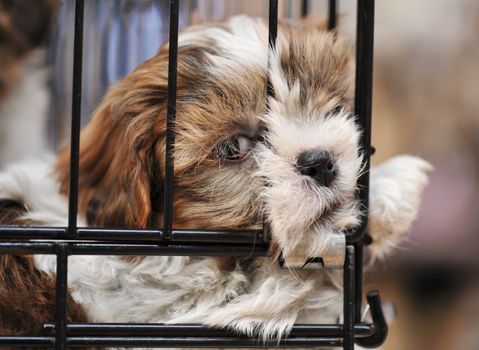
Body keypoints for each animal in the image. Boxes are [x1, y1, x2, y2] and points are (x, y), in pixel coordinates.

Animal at [0, 15, 432, 344]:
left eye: (335, 108)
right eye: (234, 147)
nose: (320, 162)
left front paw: (383, 192)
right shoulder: (160, 310)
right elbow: (274, 288)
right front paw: (392, 188)